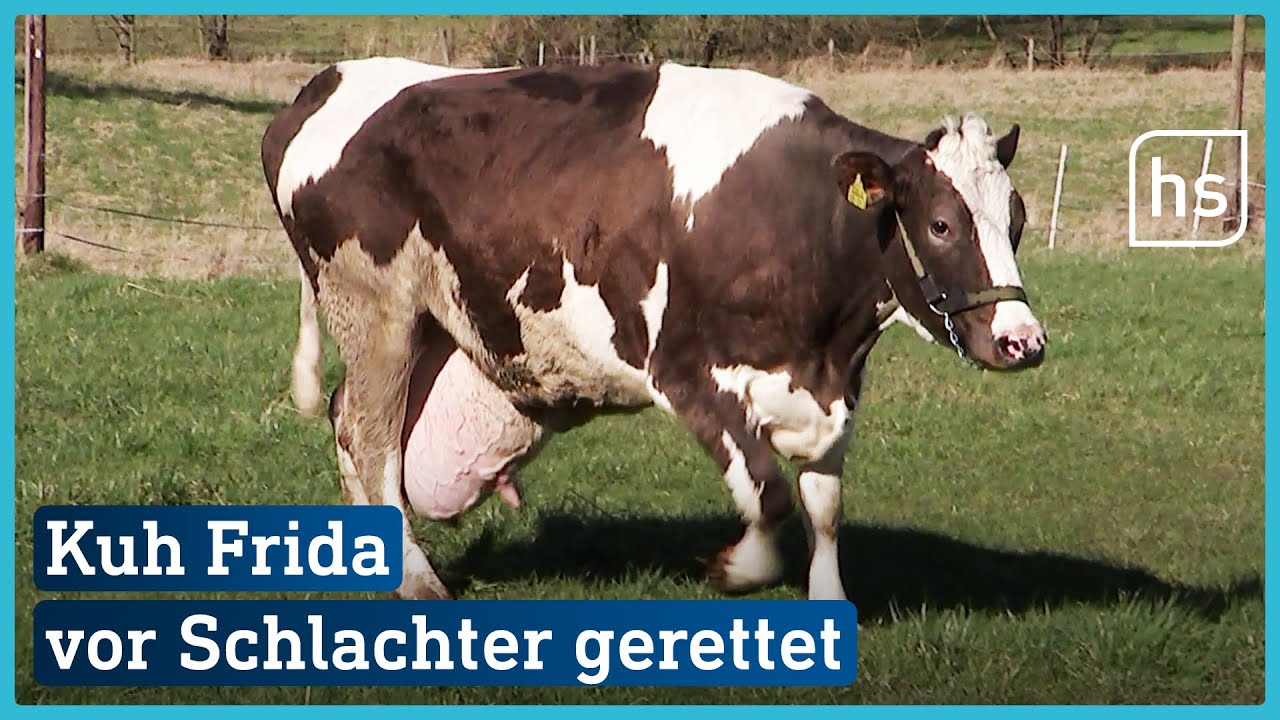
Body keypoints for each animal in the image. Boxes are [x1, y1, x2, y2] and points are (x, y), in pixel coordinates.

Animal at [261, 57, 1045, 602]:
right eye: (940, 224)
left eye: (1017, 218)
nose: (1022, 339)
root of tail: (325, 84)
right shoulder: (686, 372)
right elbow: (769, 492)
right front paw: (735, 566)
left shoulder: (834, 384)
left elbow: (823, 505)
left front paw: (828, 605)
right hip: (375, 308)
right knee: (369, 437)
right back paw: (418, 581)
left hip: (436, 323)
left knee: (351, 420)